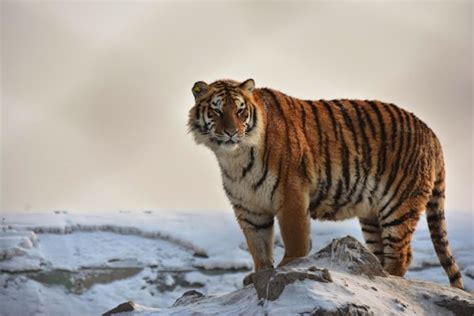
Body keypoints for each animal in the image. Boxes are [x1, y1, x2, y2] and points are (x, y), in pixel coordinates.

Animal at [188, 77, 462, 288]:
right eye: (216, 111)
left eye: (240, 111)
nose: (231, 132)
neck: (234, 157)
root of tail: (432, 134)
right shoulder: (249, 208)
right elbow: (259, 247)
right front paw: (260, 275)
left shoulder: (291, 194)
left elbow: (295, 240)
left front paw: (286, 269)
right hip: (372, 216)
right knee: (382, 254)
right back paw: (377, 276)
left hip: (398, 206)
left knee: (402, 255)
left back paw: (389, 280)